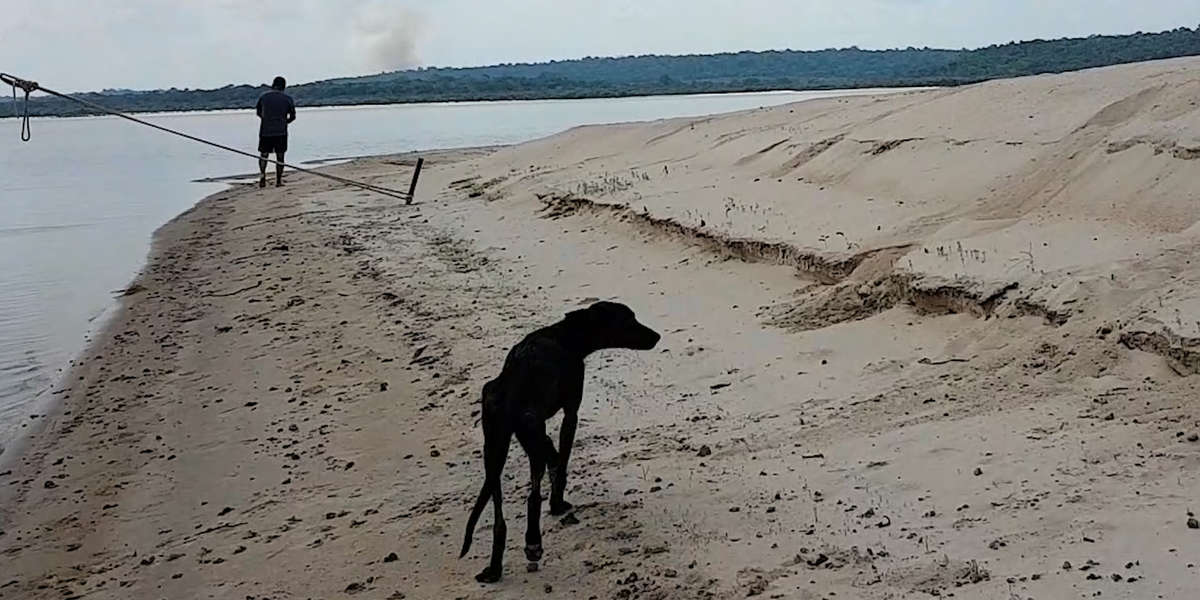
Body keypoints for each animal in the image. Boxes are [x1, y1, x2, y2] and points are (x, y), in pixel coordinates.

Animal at [460, 302, 667, 583]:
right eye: (627, 320)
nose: (656, 336)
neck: (566, 335)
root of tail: (510, 391)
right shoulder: (571, 413)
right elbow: (562, 461)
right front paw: (557, 503)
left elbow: (555, 458)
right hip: (527, 439)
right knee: (532, 497)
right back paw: (533, 543)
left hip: (493, 451)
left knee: (499, 518)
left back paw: (495, 567)